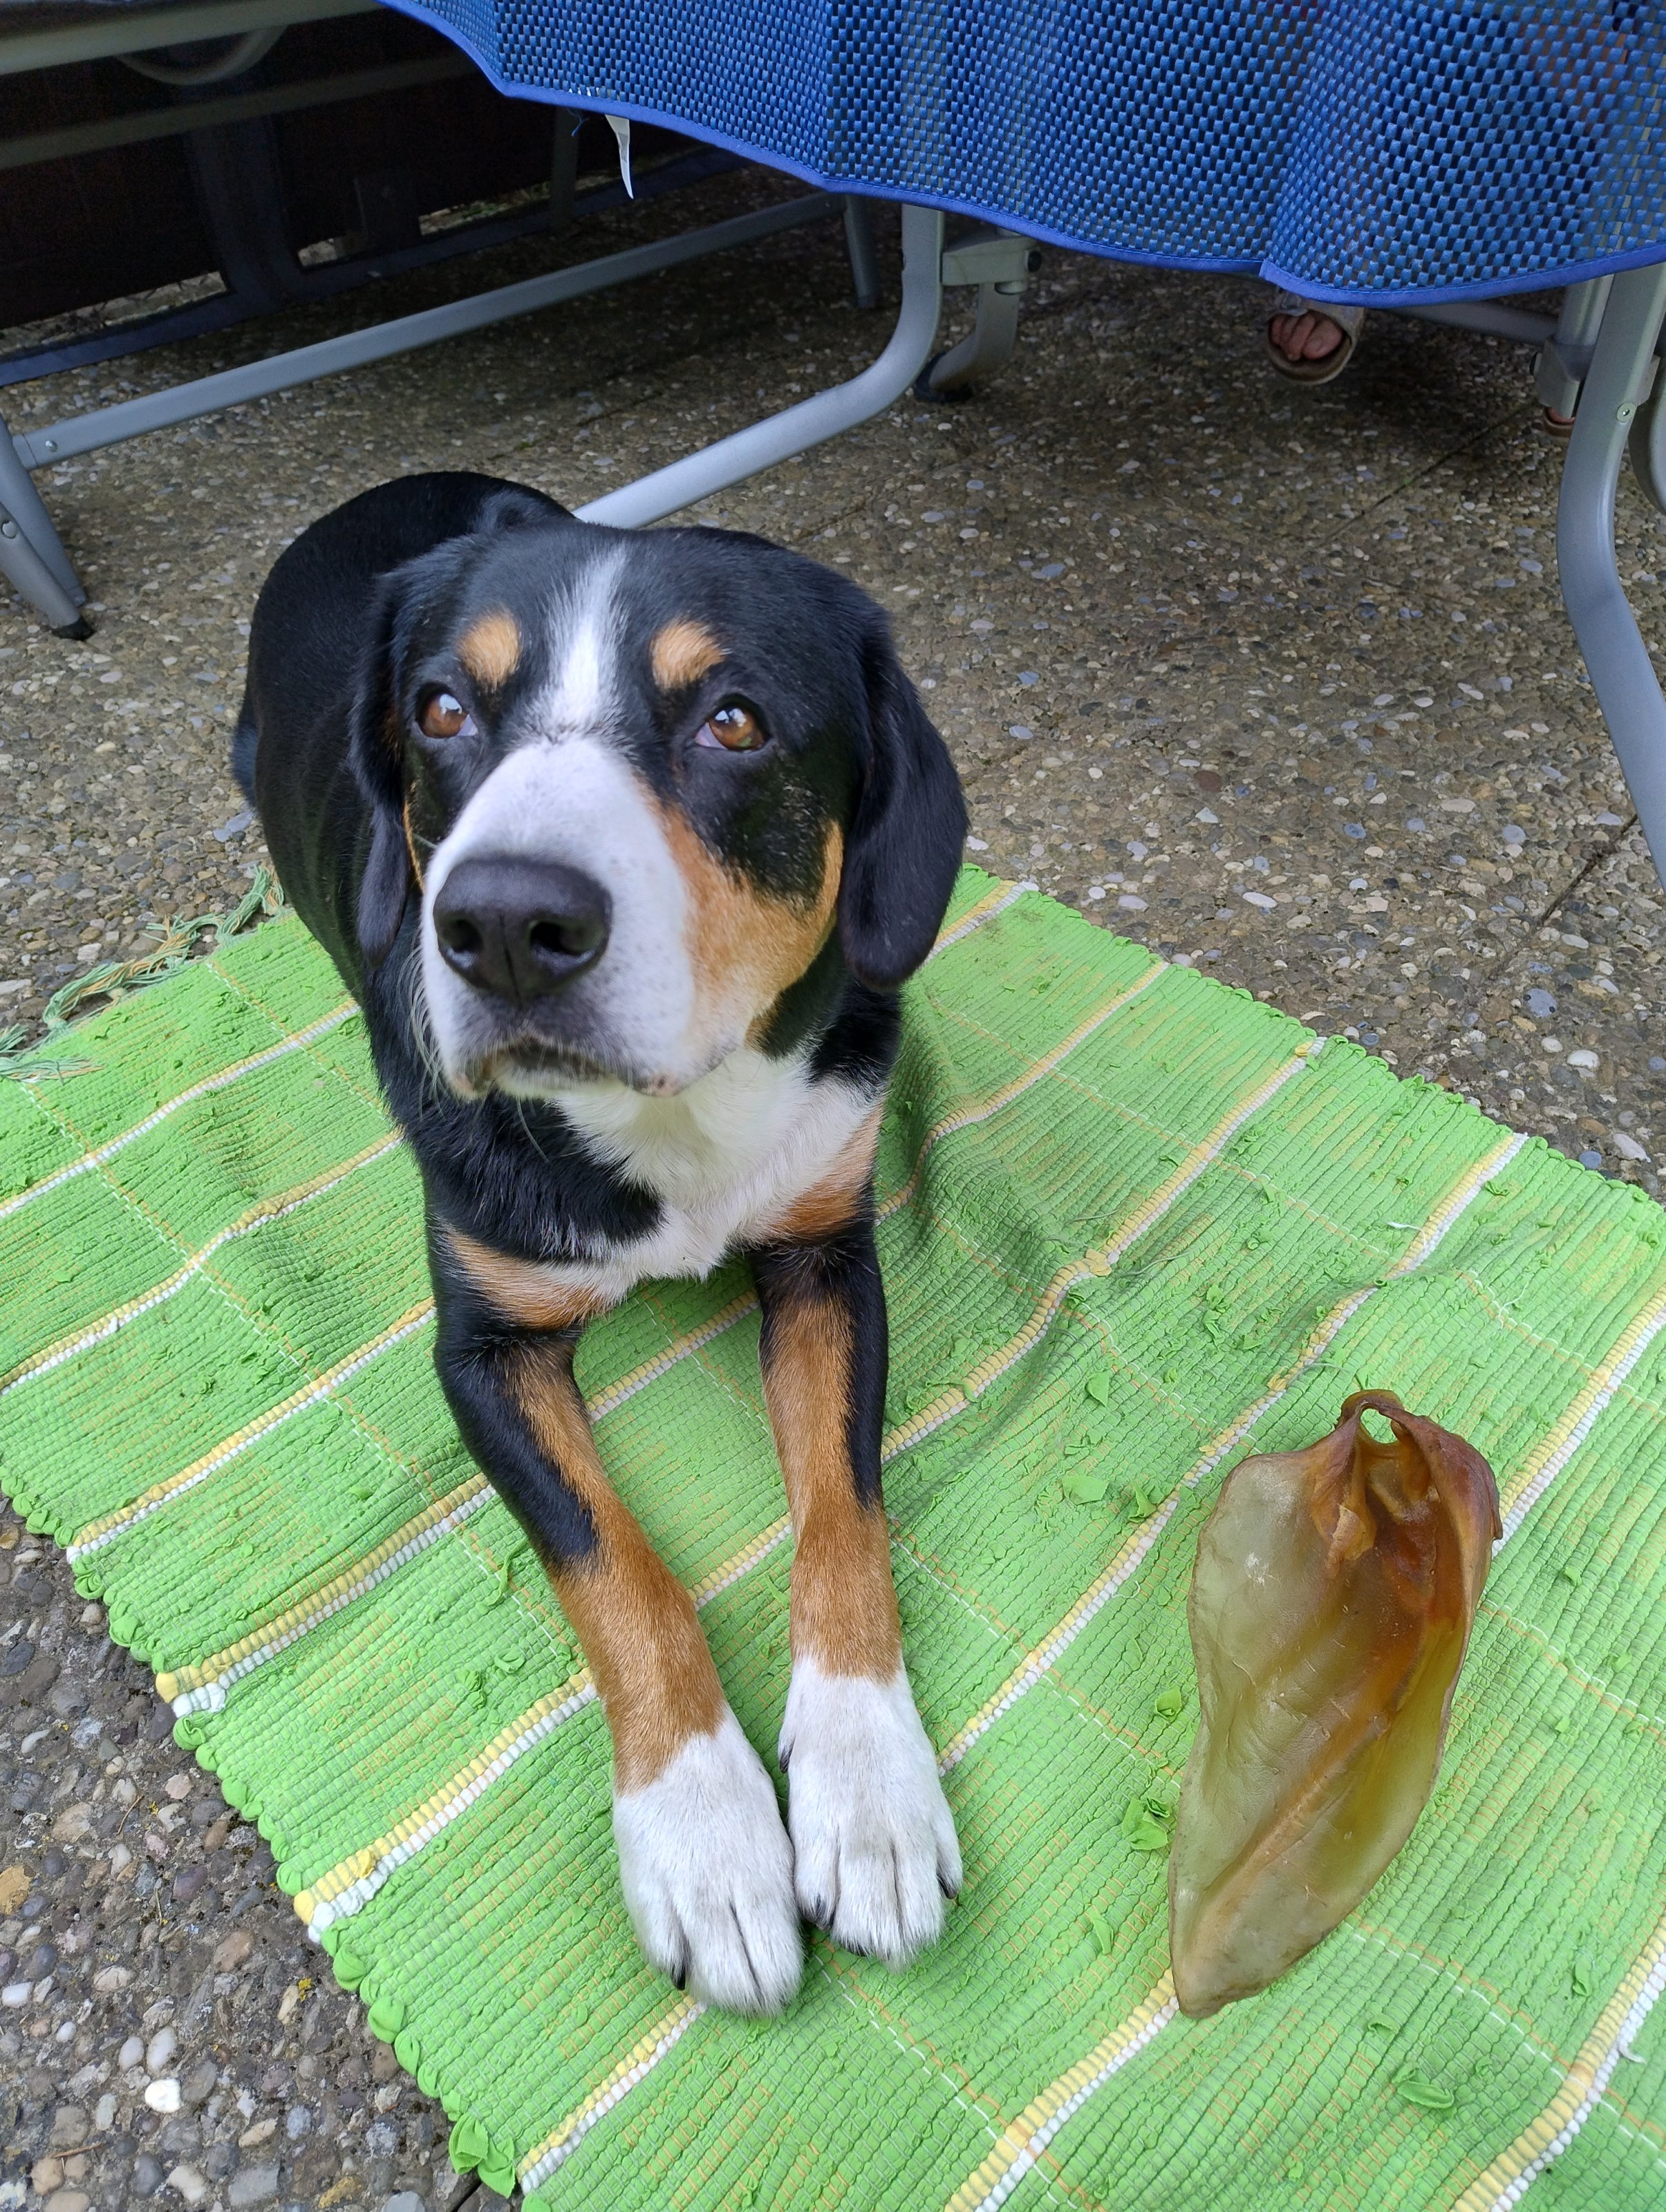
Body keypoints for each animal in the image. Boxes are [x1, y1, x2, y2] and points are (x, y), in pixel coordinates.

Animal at [233, 472, 968, 2013]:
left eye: (734, 720)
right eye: (442, 710)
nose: (506, 921)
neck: (674, 1122)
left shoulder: (828, 1257)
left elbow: (844, 1513)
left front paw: (868, 1796)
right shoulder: (484, 1345)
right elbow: (617, 1569)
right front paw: (706, 1840)